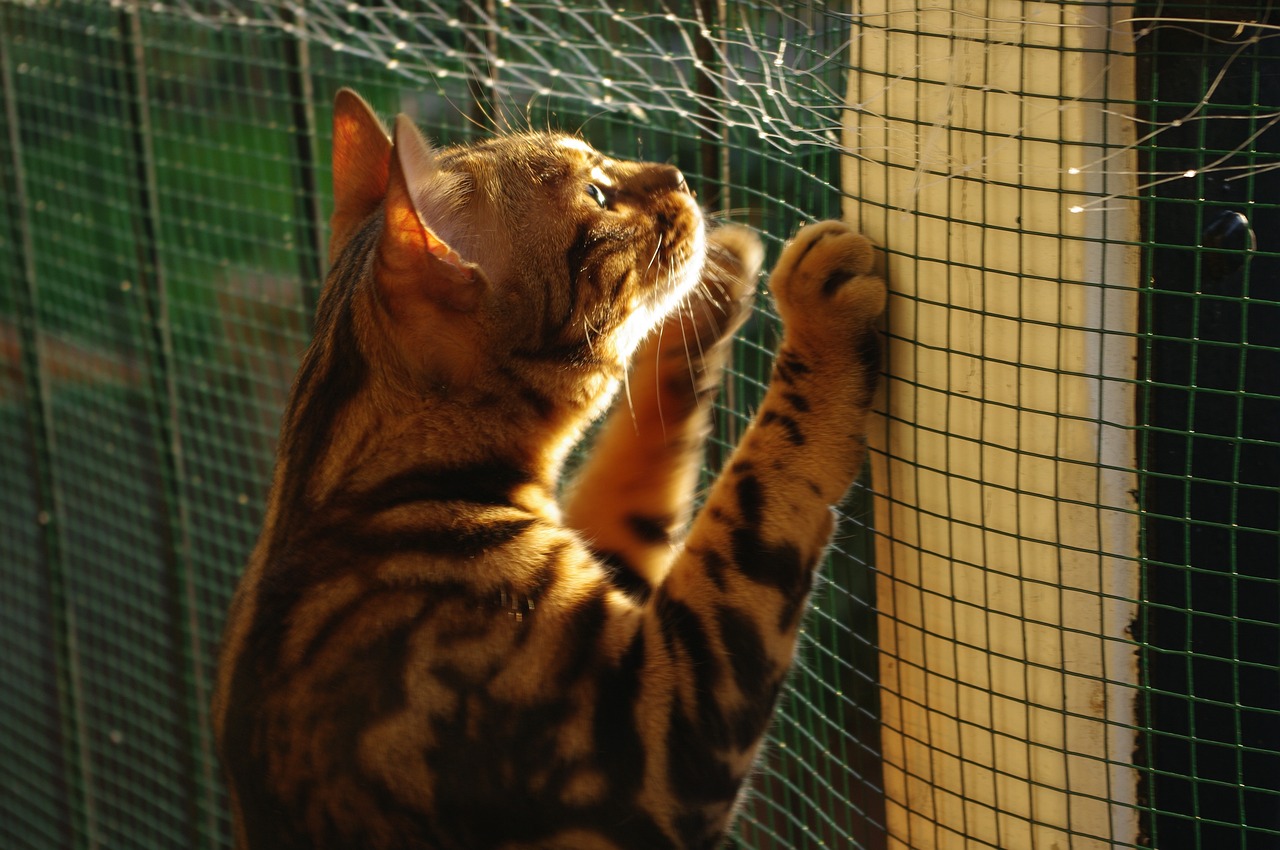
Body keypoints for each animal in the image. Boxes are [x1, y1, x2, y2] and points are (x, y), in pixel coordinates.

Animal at [212, 87, 890, 850]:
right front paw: (816, 315)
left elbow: (640, 450)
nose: (678, 177)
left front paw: (715, 283)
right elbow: (758, 492)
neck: (345, 480)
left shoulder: (613, 552)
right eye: (596, 194)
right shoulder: (655, 730)